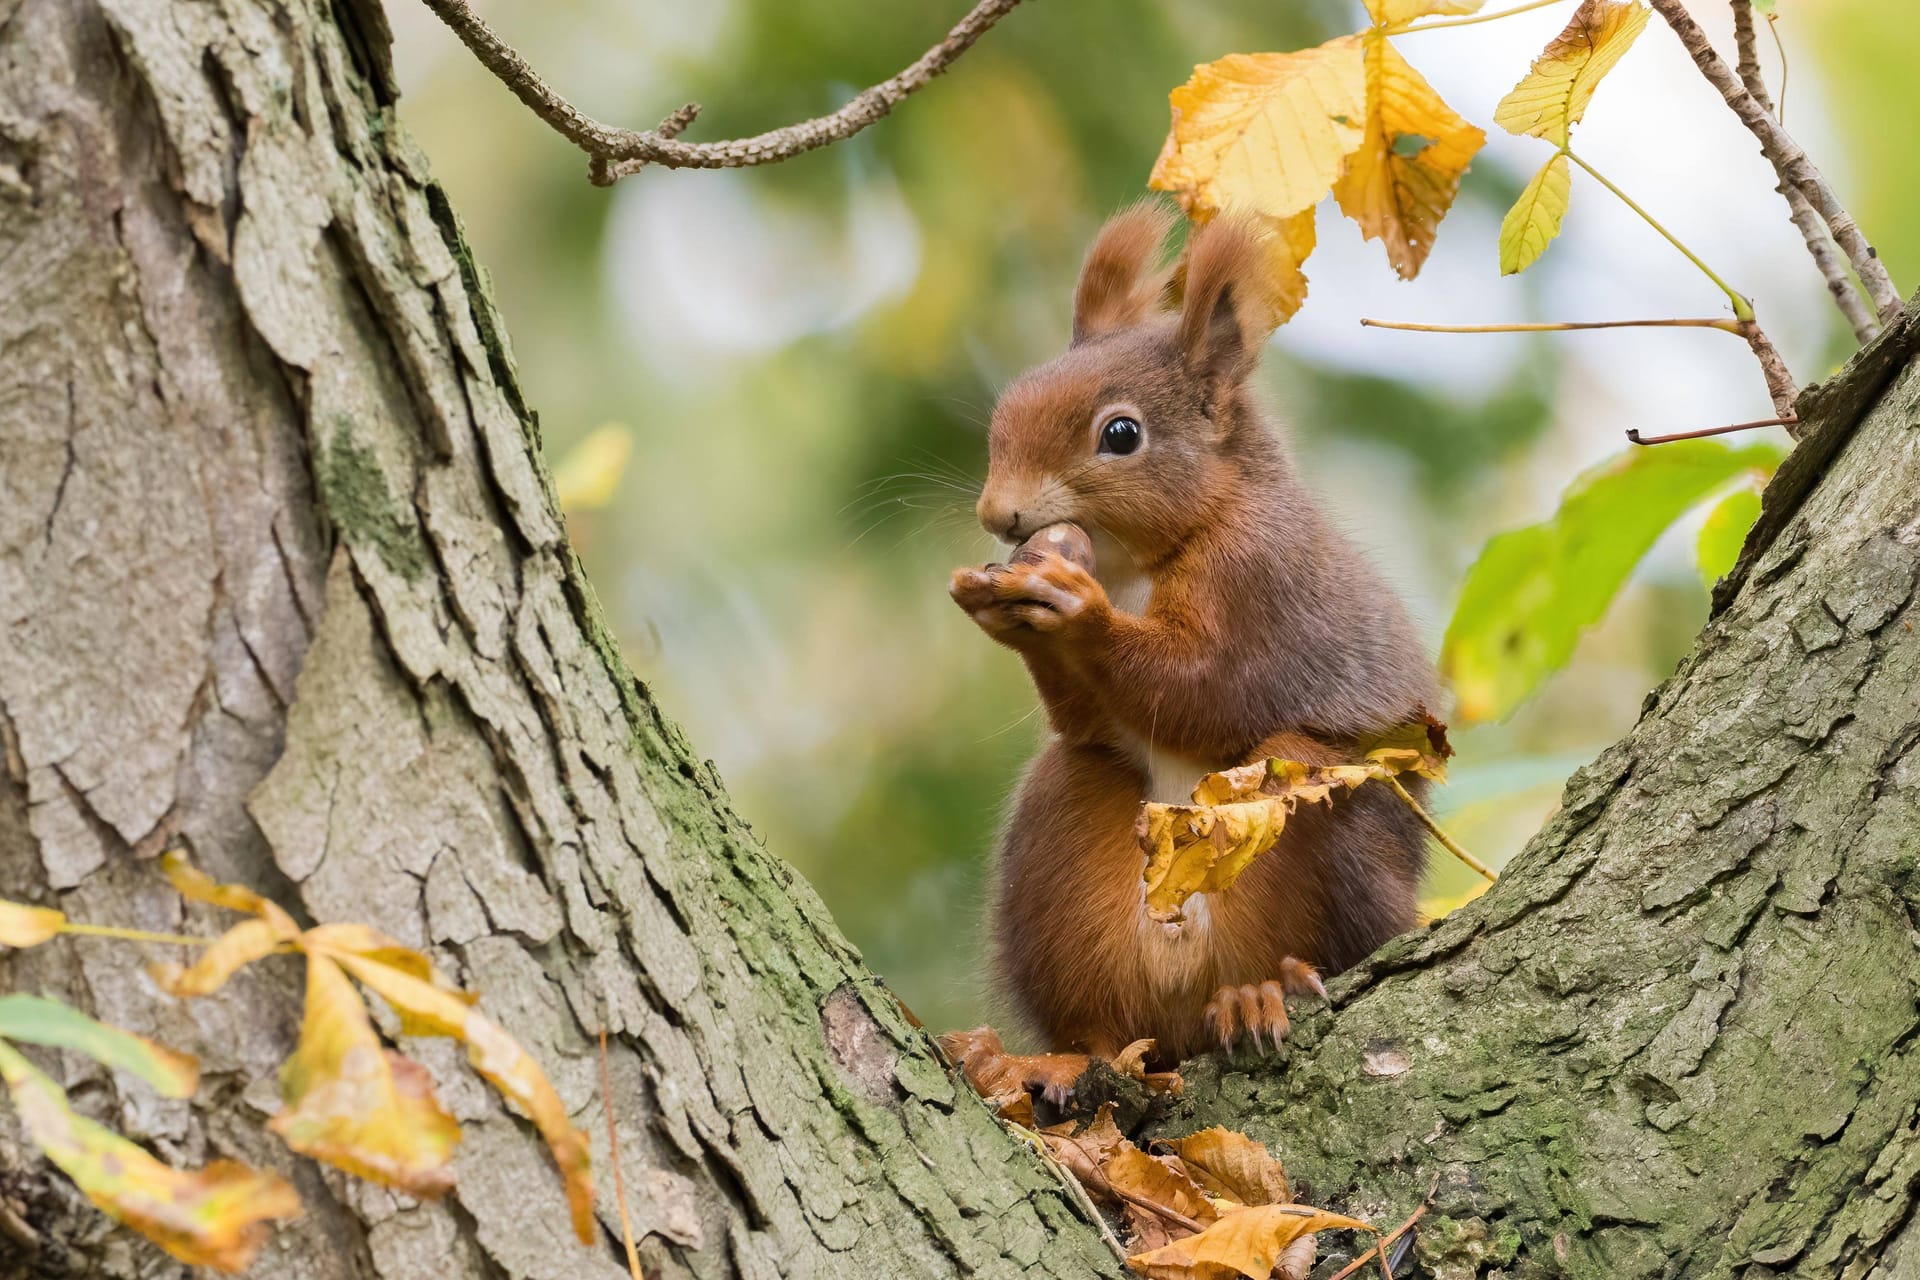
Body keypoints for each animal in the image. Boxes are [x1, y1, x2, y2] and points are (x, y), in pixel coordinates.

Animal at [952, 202, 1436, 1059]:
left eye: (1121, 435)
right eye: (1006, 410)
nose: (998, 514)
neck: (1130, 565)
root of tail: (1185, 988)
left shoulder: (1265, 584)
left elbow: (1209, 692)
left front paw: (1076, 614)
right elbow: (1090, 717)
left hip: (1335, 830)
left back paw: (1265, 991)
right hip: (1061, 847)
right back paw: (1076, 1057)